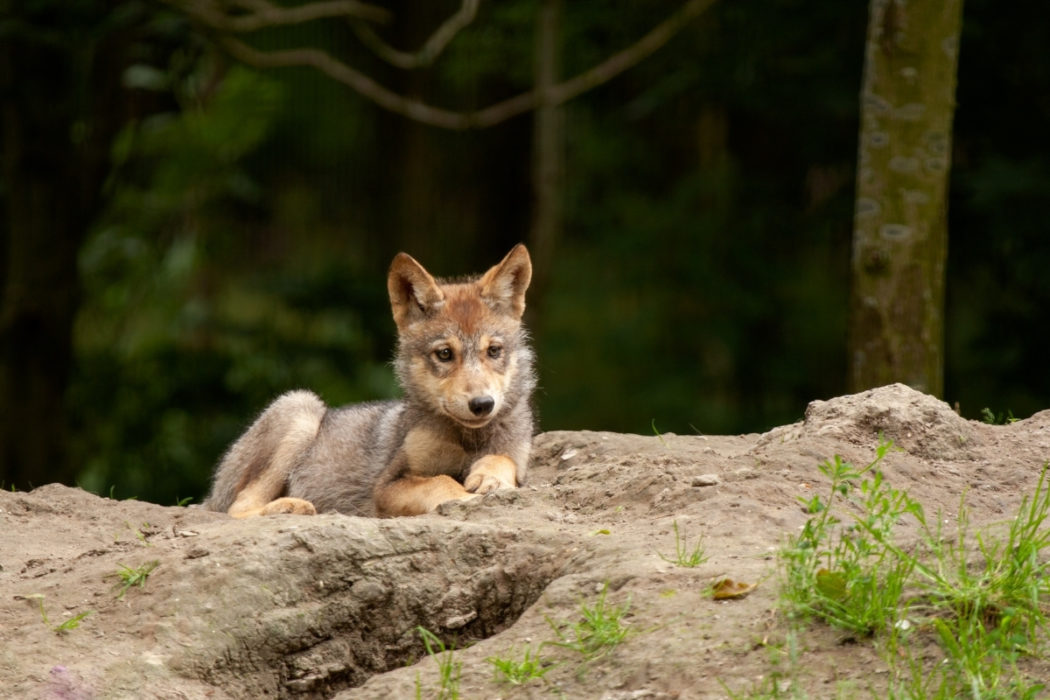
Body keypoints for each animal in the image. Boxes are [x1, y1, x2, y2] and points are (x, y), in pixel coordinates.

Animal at [204, 244, 535, 518]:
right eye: (444, 354)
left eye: (493, 351)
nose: (482, 404)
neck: (468, 440)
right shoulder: (388, 485)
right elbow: (442, 483)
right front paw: (467, 497)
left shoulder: (515, 455)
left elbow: (503, 459)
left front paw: (490, 478)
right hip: (302, 407)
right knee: (237, 508)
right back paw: (290, 507)